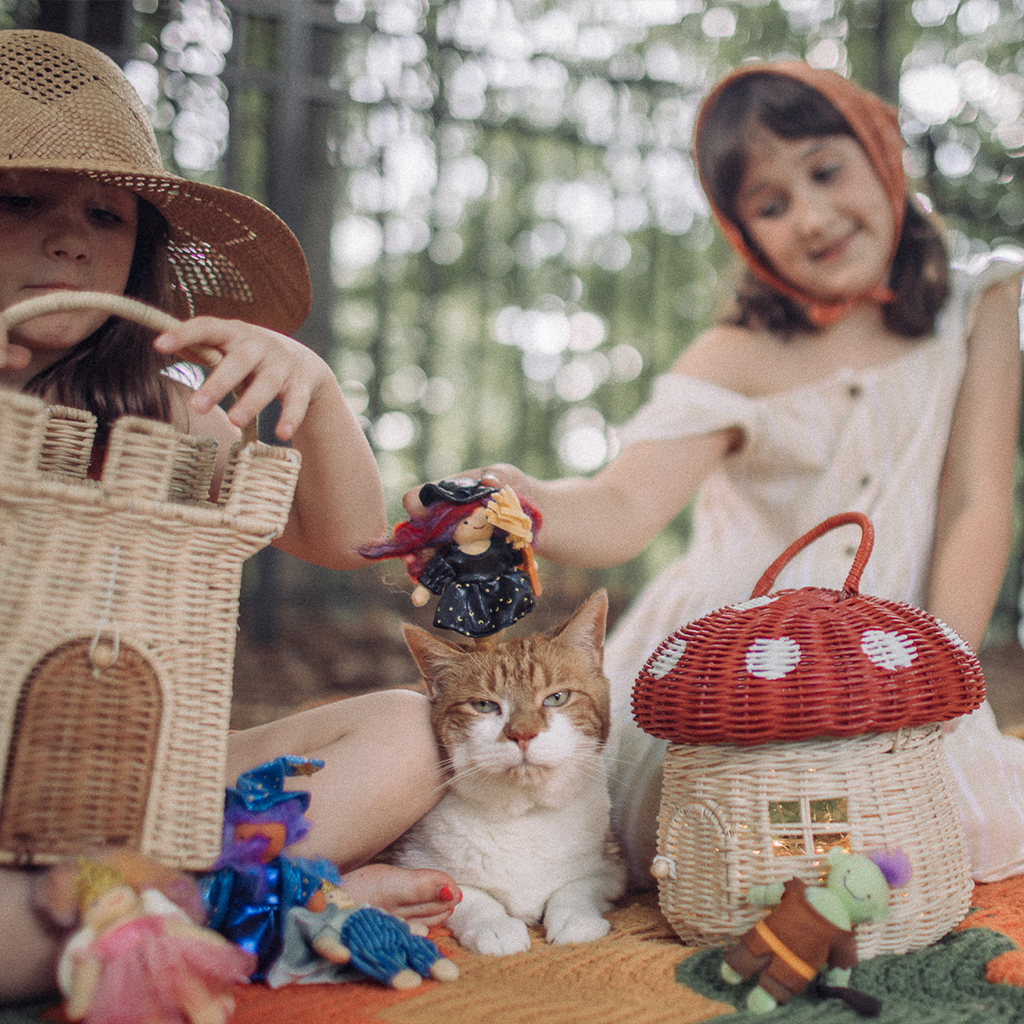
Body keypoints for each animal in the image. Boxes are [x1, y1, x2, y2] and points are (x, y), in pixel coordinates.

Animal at [397, 589, 622, 954]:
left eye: (557, 698)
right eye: (484, 705)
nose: (523, 733)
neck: (523, 817)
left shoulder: (612, 866)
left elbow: (577, 886)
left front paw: (576, 918)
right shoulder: (411, 864)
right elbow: (465, 894)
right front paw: (494, 925)